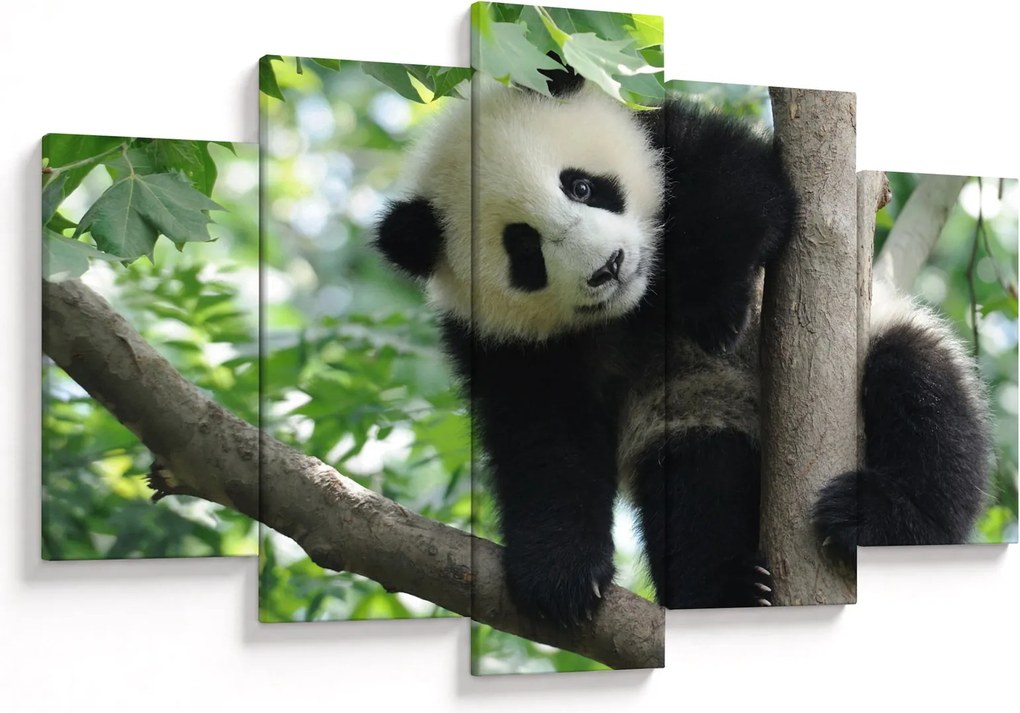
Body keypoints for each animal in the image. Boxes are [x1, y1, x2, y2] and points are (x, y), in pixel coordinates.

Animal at [374, 69, 992, 624]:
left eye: (581, 186)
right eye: (524, 249)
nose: (609, 267)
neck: (639, 303)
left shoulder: (666, 139)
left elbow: (744, 187)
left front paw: (715, 310)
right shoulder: (506, 344)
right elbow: (545, 440)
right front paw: (560, 576)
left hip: (882, 341)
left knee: (920, 396)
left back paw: (876, 519)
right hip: (693, 417)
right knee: (696, 490)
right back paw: (728, 587)